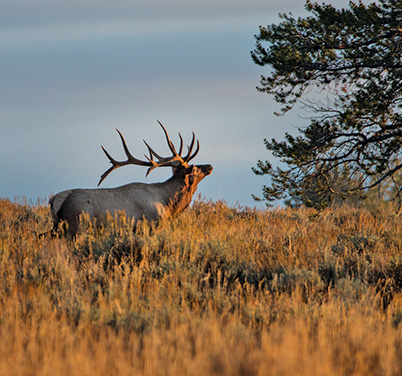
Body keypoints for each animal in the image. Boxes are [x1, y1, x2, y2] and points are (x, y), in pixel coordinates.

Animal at [48, 122, 214, 236]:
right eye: (195, 168)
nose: (209, 166)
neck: (167, 203)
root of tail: (56, 200)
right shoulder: (152, 223)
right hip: (76, 225)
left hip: (58, 228)